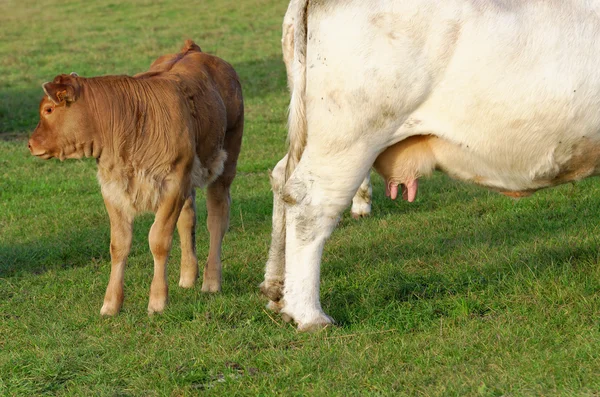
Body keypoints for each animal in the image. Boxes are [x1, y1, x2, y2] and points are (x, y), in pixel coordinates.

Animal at [28, 39, 244, 312]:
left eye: (48, 109)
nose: (30, 144)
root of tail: (192, 50)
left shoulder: (173, 185)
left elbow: (159, 240)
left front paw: (158, 300)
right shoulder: (113, 188)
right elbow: (119, 245)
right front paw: (111, 304)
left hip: (226, 159)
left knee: (217, 216)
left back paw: (211, 280)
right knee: (188, 219)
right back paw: (187, 276)